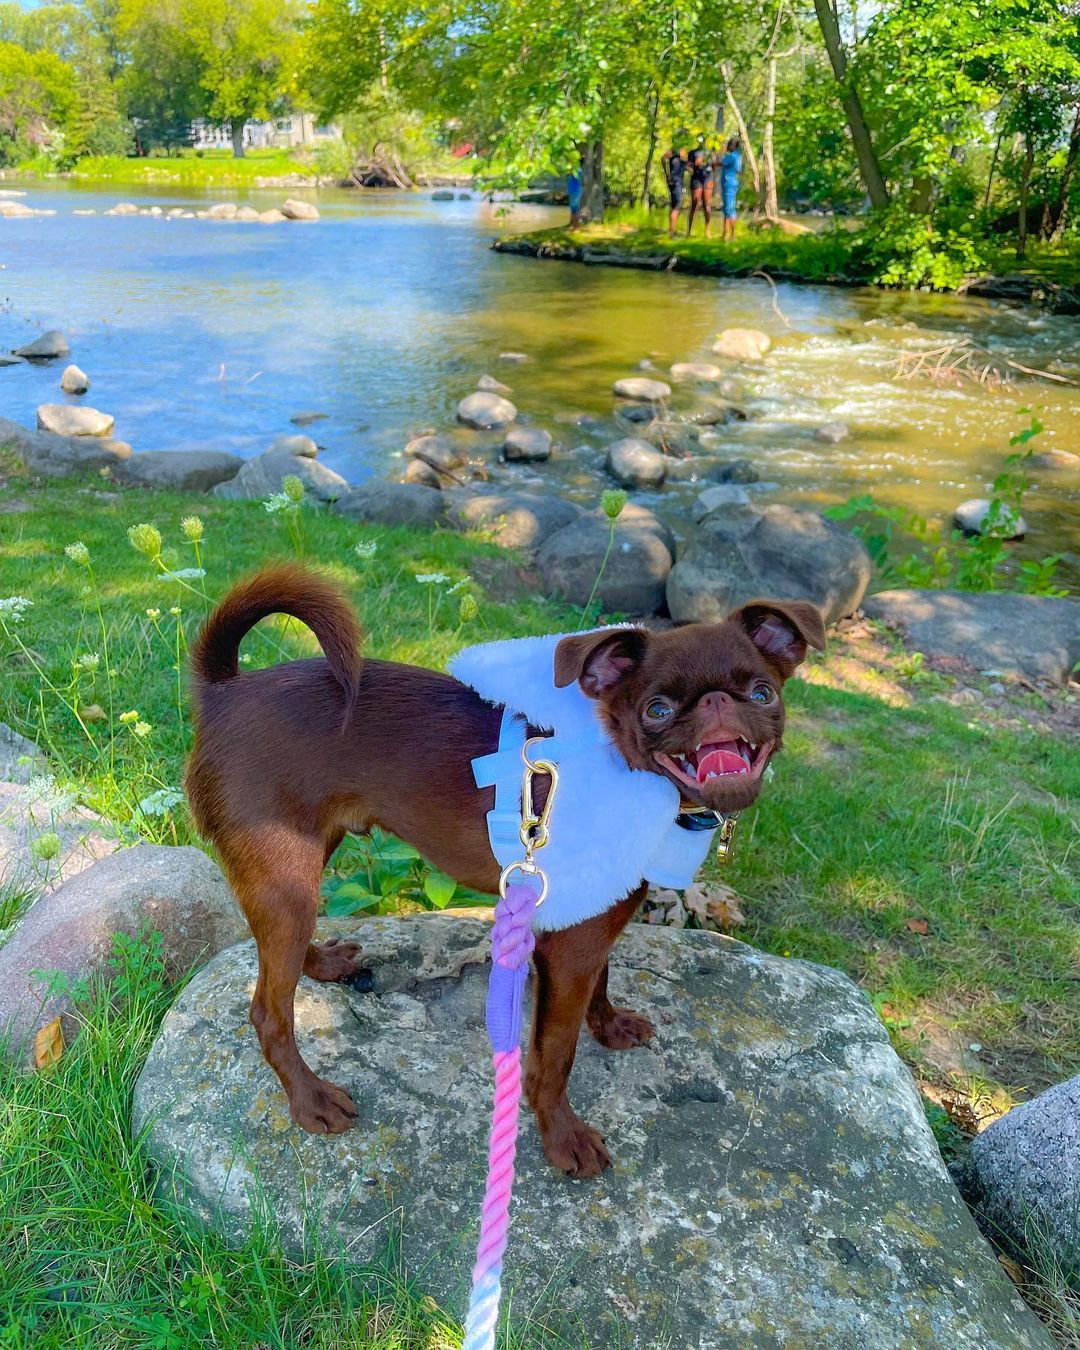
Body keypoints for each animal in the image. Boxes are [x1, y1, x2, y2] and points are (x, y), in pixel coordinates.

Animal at [187, 564, 826, 1177]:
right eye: (658, 710)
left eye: (763, 693)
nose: (719, 703)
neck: (622, 767)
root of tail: (223, 691)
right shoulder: (569, 950)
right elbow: (555, 1053)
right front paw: (563, 1137)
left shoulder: (593, 920)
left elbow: (602, 983)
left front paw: (609, 1025)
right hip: (284, 872)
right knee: (268, 1010)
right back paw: (310, 1099)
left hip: (304, 856)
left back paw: (321, 963)